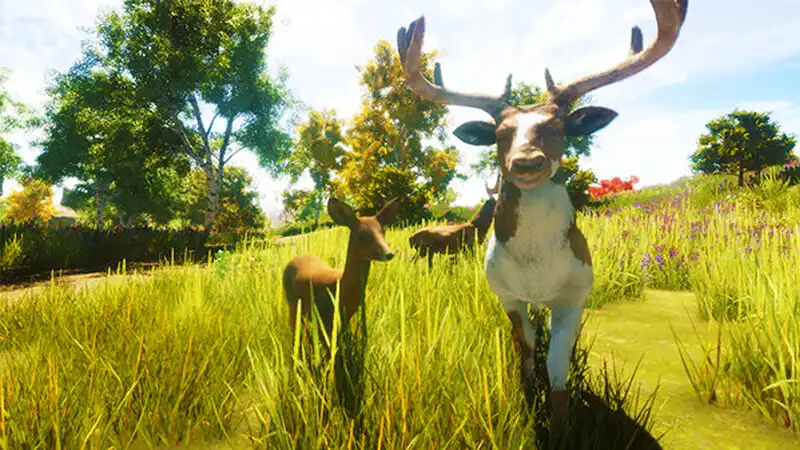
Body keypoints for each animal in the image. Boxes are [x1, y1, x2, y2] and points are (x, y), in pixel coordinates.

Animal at [282, 197, 400, 340]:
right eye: (361, 236)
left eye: (383, 231)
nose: (389, 253)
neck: (340, 286)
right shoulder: (324, 319)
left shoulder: (344, 319)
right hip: (292, 305)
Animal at [396, 0, 688, 441]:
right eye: (500, 134)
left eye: (557, 127)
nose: (527, 162)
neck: (537, 269)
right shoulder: (503, 291)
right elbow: (528, 345)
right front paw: (529, 394)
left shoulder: (576, 291)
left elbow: (559, 360)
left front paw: (562, 424)